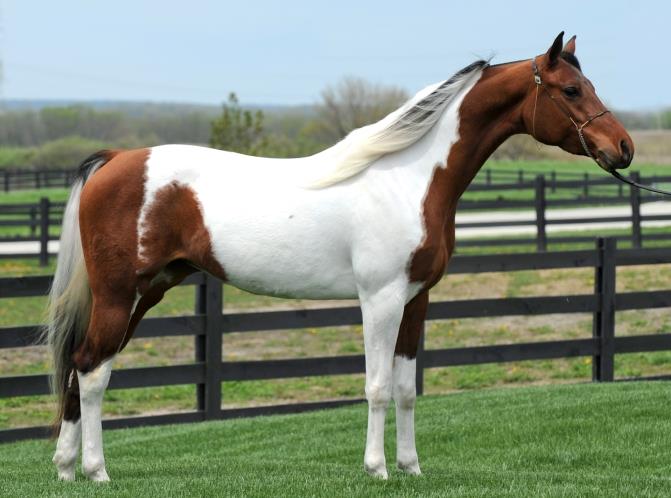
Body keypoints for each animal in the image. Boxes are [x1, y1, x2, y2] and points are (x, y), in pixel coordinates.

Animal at [45, 32, 633, 481]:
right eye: (571, 89)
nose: (623, 148)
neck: (410, 179)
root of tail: (117, 160)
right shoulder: (380, 300)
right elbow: (376, 387)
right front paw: (377, 469)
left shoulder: (415, 302)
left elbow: (406, 389)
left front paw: (411, 467)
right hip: (121, 294)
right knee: (92, 372)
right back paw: (96, 471)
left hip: (146, 292)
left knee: (81, 365)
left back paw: (67, 468)